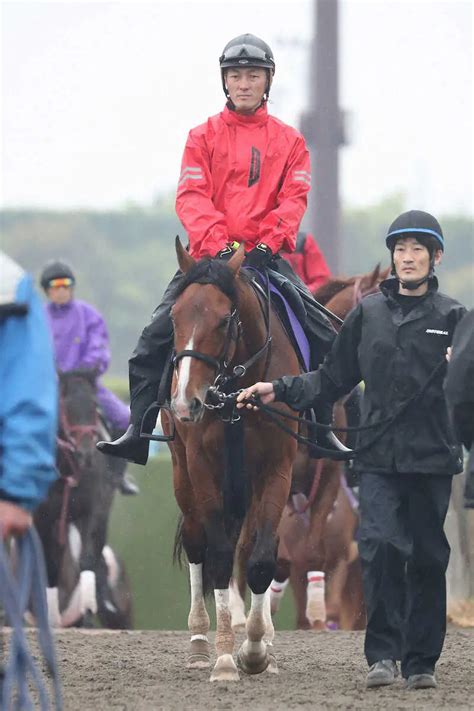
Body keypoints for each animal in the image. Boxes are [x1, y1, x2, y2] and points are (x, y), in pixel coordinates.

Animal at [33, 372, 131, 628]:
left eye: (95, 406)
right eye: (65, 407)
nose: (86, 454)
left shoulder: (93, 510)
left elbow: (87, 559)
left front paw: (87, 611)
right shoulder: (44, 516)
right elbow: (49, 564)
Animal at [159, 241, 300, 684]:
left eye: (224, 321)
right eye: (174, 316)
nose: (185, 402)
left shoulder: (277, 469)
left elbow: (261, 557)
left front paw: (255, 651)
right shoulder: (201, 467)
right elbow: (218, 553)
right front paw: (223, 658)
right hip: (182, 475)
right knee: (196, 541)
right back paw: (200, 642)